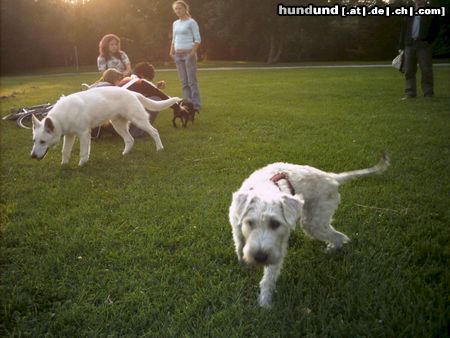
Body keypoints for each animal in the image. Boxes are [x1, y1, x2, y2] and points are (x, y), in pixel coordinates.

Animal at [29, 87, 182, 166]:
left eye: (43, 141)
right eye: (34, 141)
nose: (32, 156)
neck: (62, 115)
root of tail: (132, 92)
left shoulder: (84, 134)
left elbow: (83, 153)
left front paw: (81, 165)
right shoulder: (69, 136)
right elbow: (65, 152)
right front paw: (64, 166)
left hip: (139, 121)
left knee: (154, 132)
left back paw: (160, 148)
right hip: (118, 125)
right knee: (130, 140)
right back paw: (124, 154)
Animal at [230, 154, 388, 308]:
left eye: (275, 224)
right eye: (250, 223)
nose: (260, 257)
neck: (266, 187)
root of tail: (332, 177)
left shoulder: (278, 245)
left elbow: (269, 277)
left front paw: (265, 303)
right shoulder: (236, 226)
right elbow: (239, 244)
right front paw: (243, 262)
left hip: (313, 222)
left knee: (340, 237)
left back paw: (330, 250)